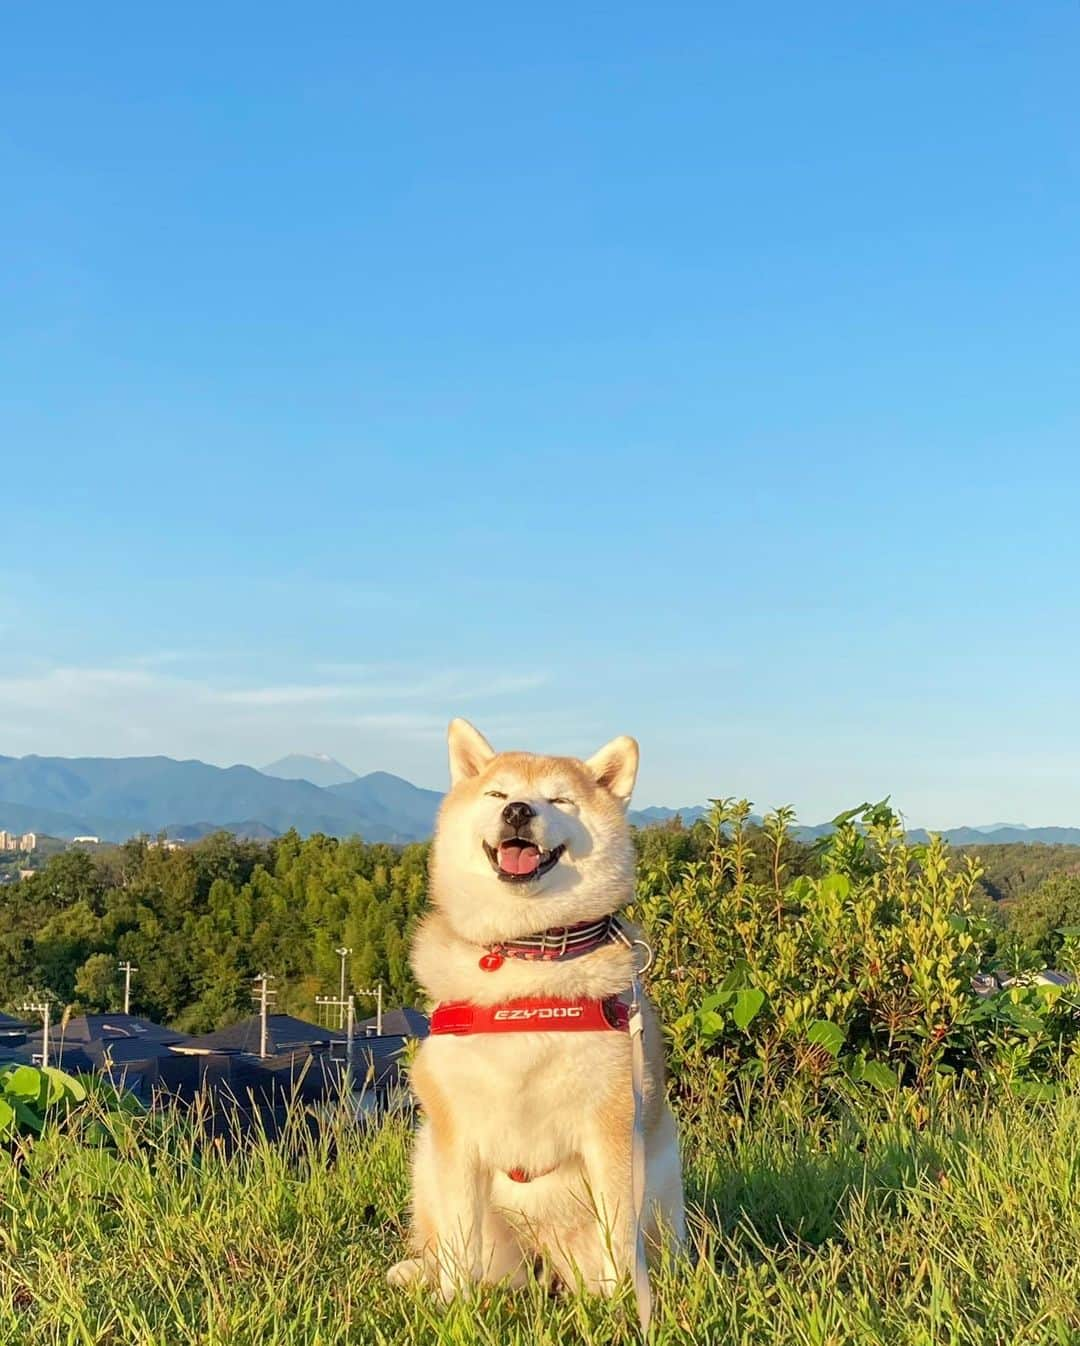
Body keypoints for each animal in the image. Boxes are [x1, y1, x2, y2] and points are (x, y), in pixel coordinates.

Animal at [390, 721, 681, 1297]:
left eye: (559, 799)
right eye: (498, 794)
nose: (519, 811)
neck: (529, 959)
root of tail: (543, 1263)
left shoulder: (614, 1124)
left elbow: (619, 1231)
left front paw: (623, 1303)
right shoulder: (456, 1127)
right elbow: (458, 1236)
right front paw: (452, 1304)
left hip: (662, 1177)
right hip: (428, 1158)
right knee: (444, 1242)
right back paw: (422, 1274)